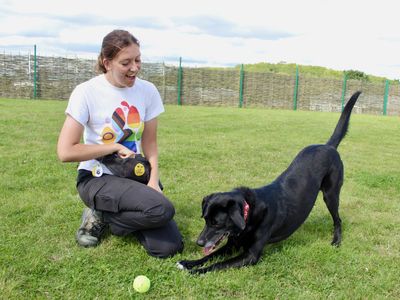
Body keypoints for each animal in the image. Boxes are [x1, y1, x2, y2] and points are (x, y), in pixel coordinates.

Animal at [179, 91, 362, 274]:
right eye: (205, 219)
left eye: (217, 223)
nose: (199, 243)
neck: (249, 213)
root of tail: (328, 146)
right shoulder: (232, 244)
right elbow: (209, 256)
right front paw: (188, 262)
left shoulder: (250, 255)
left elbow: (217, 264)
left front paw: (195, 272)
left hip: (331, 194)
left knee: (338, 220)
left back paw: (336, 241)